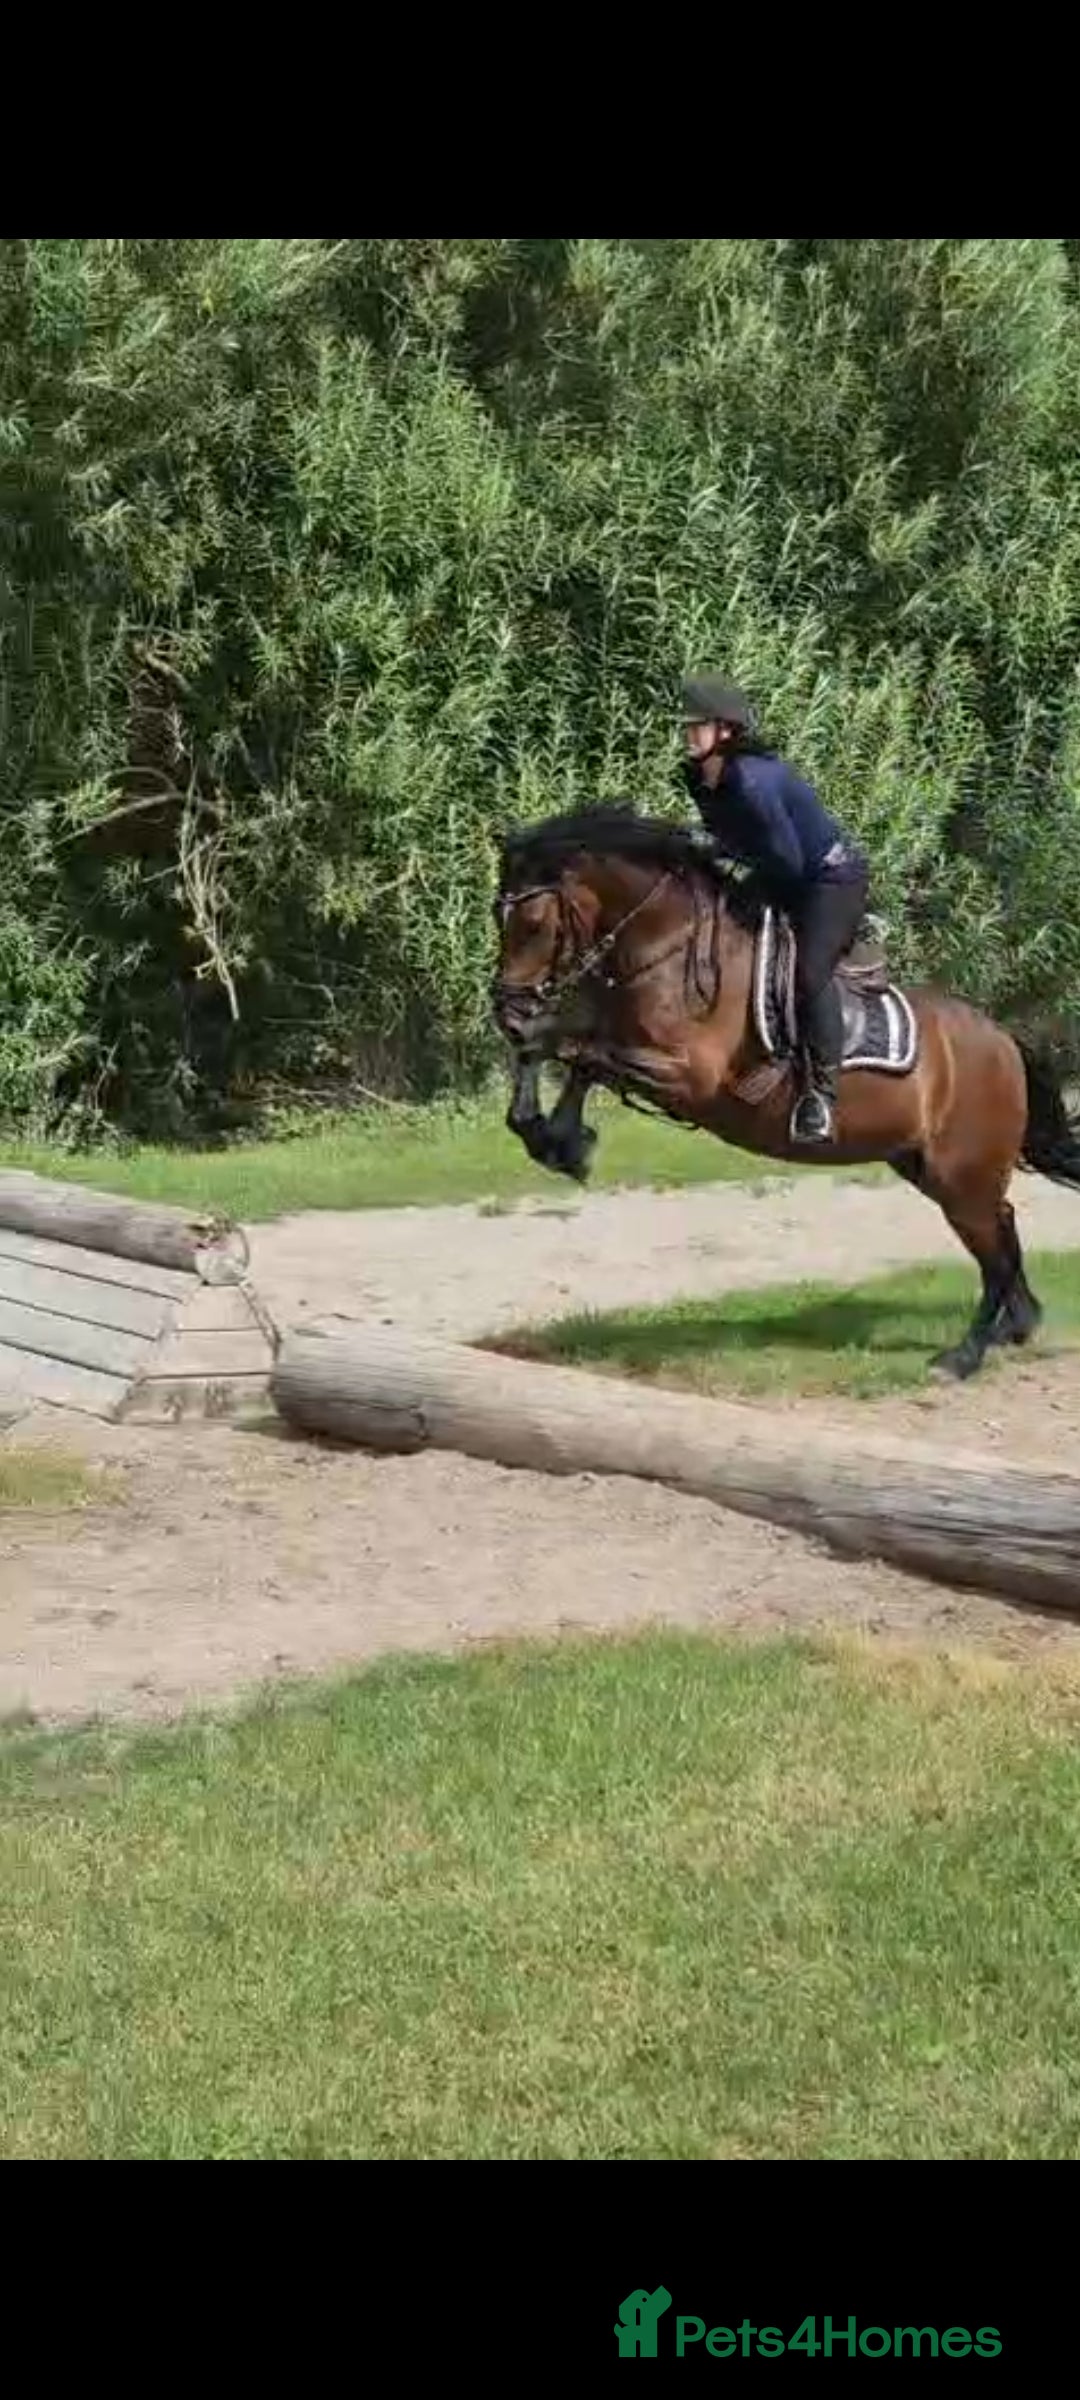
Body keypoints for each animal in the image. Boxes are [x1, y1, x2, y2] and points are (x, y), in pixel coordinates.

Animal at [490, 801, 1080, 1382]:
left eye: (534, 923)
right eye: (499, 917)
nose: (506, 1014)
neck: (668, 947)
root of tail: (1003, 1040)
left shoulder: (689, 1075)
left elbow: (581, 1056)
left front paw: (563, 1142)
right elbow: (555, 1050)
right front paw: (549, 1138)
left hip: (961, 1174)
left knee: (993, 1249)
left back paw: (963, 1357)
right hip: (926, 1165)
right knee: (1002, 1225)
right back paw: (1019, 1323)